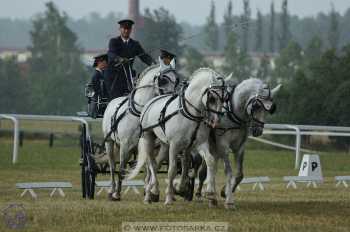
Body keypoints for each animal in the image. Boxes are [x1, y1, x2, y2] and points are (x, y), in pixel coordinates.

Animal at [100, 60, 178, 200]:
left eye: (177, 80)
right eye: (163, 79)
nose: (171, 98)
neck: (140, 113)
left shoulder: (153, 145)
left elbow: (153, 167)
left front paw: (151, 192)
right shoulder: (125, 145)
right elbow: (121, 169)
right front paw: (117, 194)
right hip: (110, 142)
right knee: (112, 166)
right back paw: (112, 190)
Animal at [127, 68, 228, 206]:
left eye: (225, 98)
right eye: (211, 98)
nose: (216, 121)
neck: (190, 113)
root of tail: (151, 101)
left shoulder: (199, 143)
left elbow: (207, 161)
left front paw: (209, 193)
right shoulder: (174, 145)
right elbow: (172, 170)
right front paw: (169, 197)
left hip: (165, 145)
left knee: (158, 164)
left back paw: (152, 191)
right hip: (148, 138)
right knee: (152, 164)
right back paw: (149, 194)